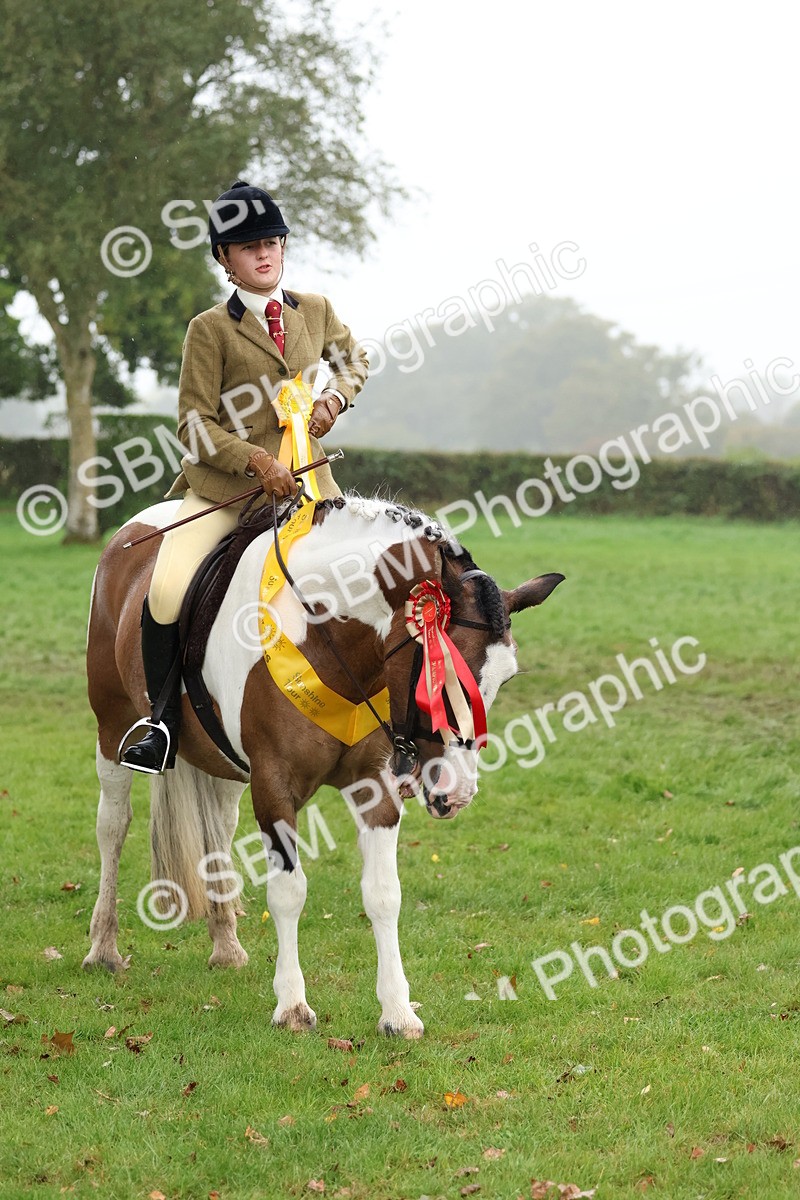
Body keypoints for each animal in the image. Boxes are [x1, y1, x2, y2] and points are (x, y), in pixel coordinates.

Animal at [84, 493, 563, 1038]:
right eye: (441, 679)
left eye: (502, 683)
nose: (456, 794)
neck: (322, 632)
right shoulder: (274, 786)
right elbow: (289, 891)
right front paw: (292, 1006)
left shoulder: (373, 784)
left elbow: (383, 894)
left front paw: (398, 1012)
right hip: (111, 724)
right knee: (112, 825)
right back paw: (103, 948)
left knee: (217, 832)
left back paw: (226, 946)